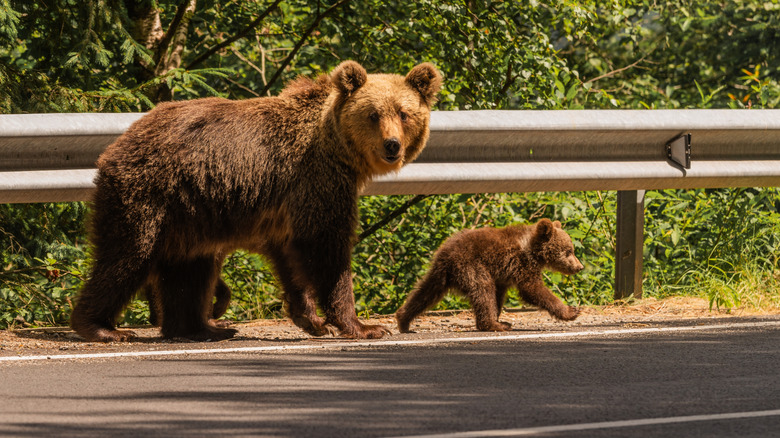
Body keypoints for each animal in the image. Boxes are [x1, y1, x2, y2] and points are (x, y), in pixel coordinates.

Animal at [70, 61, 442, 342]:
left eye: (404, 113)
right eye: (373, 114)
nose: (392, 145)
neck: (337, 148)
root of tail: (117, 144)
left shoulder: (287, 204)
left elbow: (289, 255)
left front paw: (311, 319)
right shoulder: (318, 180)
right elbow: (326, 247)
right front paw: (363, 326)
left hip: (189, 211)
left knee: (191, 268)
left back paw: (203, 328)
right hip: (148, 194)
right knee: (128, 255)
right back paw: (103, 328)